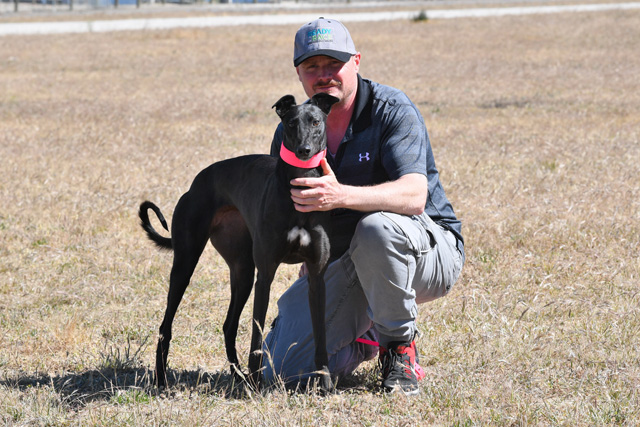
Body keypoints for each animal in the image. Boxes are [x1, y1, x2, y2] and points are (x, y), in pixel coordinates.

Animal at [139, 93, 340, 394]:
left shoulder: (317, 276)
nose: (304, 150)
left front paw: (324, 382)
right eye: (291, 123)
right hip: (186, 262)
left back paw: (238, 377)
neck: (298, 189)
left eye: (316, 121)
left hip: (242, 270)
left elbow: (321, 335)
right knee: (166, 326)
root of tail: (196, 182)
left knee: (228, 325)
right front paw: (257, 383)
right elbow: (257, 335)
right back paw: (163, 380)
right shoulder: (265, 275)